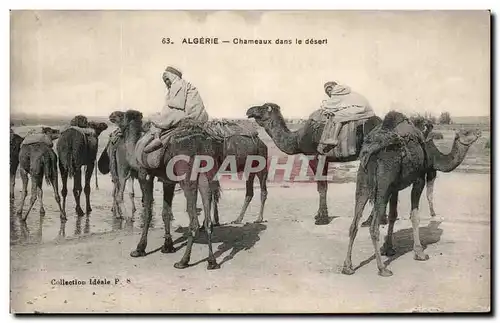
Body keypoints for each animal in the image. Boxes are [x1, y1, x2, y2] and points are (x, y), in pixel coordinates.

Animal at [115, 110, 225, 270]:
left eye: (120, 116)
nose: (111, 116)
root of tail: (201, 142)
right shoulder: (168, 181)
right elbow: (166, 212)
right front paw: (168, 246)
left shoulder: (144, 175)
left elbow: (148, 212)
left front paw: (140, 248)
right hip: (206, 175)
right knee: (208, 219)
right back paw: (212, 262)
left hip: (186, 176)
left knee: (194, 221)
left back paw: (183, 261)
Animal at [247, 103, 382, 225]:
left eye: (263, 107)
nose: (249, 110)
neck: (297, 139)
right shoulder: (325, 160)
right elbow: (323, 186)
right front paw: (319, 215)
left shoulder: (314, 156)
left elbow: (321, 187)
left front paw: (322, 219)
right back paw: (371, 221)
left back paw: (370, 221)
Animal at [340, 112, 480, 278]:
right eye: (466, 132)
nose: (479, 131)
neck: (432, 154)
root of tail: (371, 152)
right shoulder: (419, 178)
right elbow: (414, 216)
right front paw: (419, 253)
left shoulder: (394, 187)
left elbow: (393, 215)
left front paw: (389, 249)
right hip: (383, 182)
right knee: (373, 226)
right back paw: (382, 268)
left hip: (363, 180)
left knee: (354, 223)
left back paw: (347, 267)